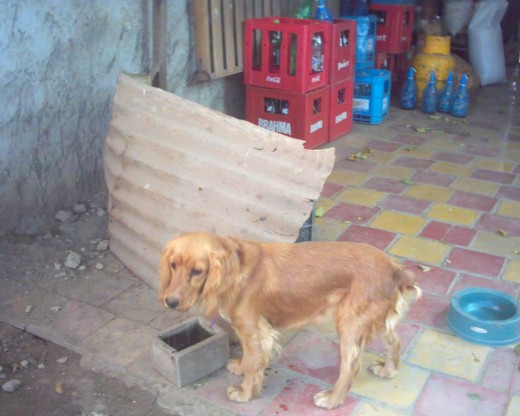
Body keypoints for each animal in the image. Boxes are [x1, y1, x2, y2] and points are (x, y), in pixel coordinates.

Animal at [157, 231, 418, 410]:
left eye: (197, 271)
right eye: (173, 264)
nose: (170, 301)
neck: (237, 268)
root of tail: (396, 269)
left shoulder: (253, 329)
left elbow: (254, 363)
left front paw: (244, 393)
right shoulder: (251, 330)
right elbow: (250, 359)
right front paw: (240, 367)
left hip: (350, 325)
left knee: (350, 367)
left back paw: (332, 399)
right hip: (376, 320)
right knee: (394, 343)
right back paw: (387, 371)